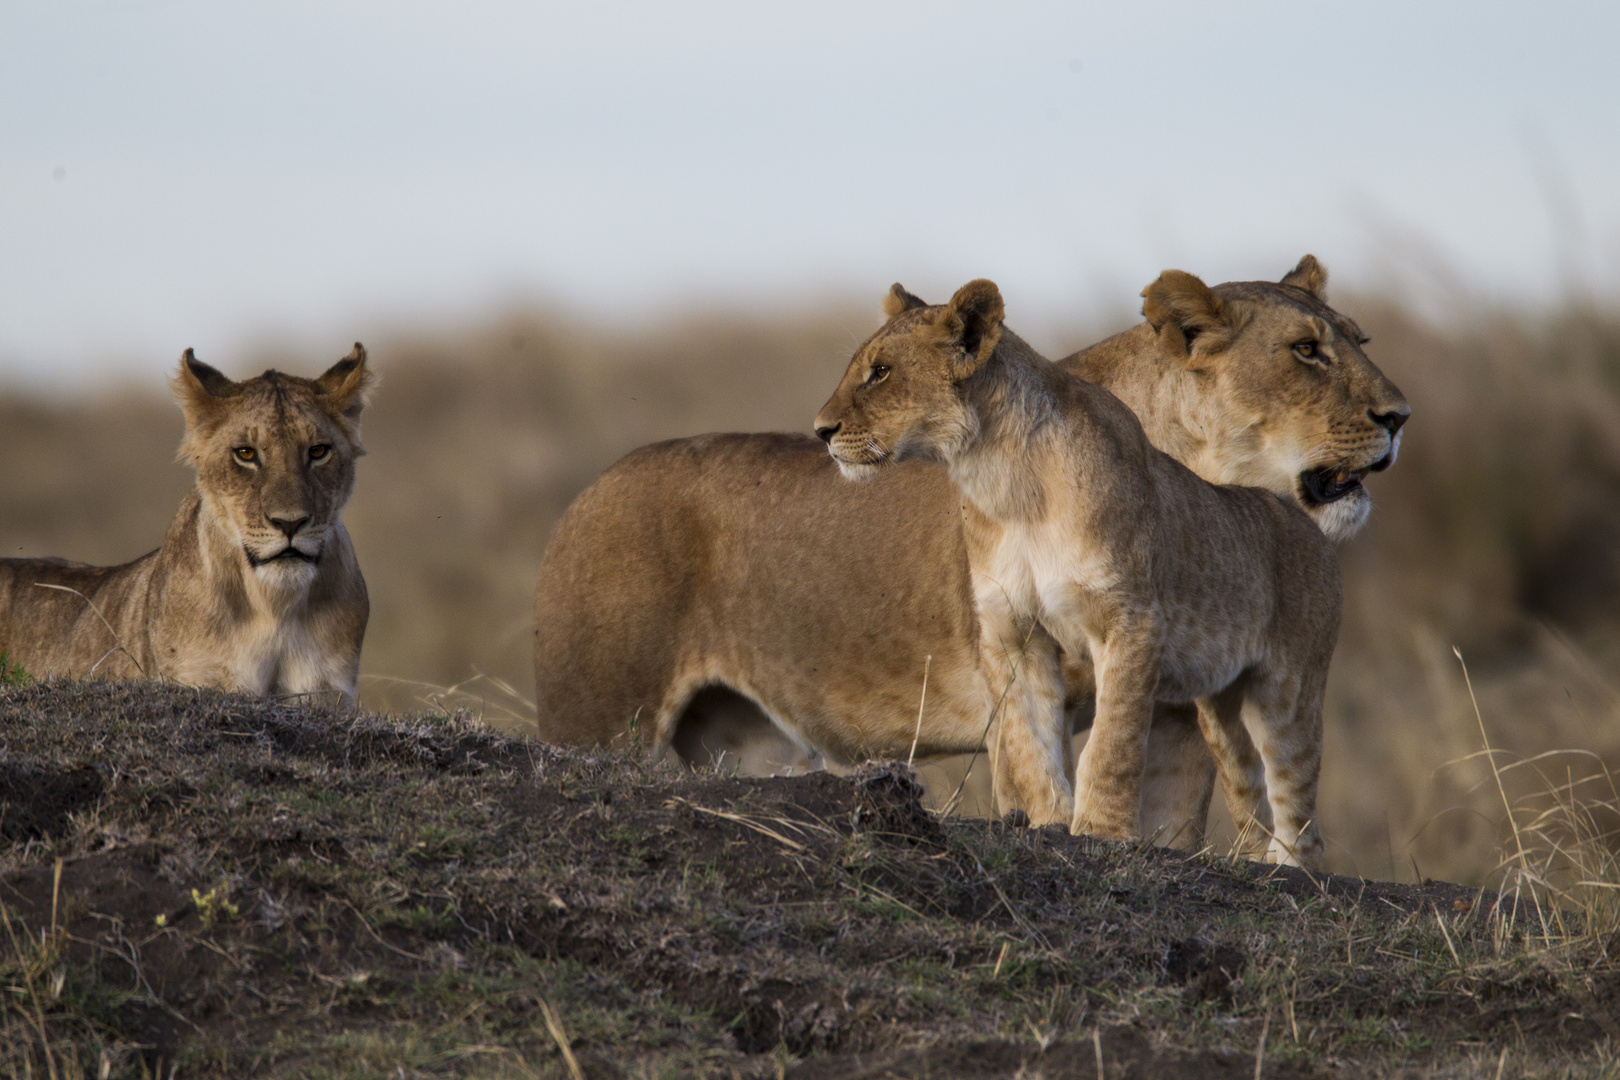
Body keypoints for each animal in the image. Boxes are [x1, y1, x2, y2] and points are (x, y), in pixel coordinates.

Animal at [0, 346, 372, 702]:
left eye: (318, 451)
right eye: (246, 454)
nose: (290, 522)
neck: (275, 608)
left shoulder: (328, 688)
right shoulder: (203, 678)